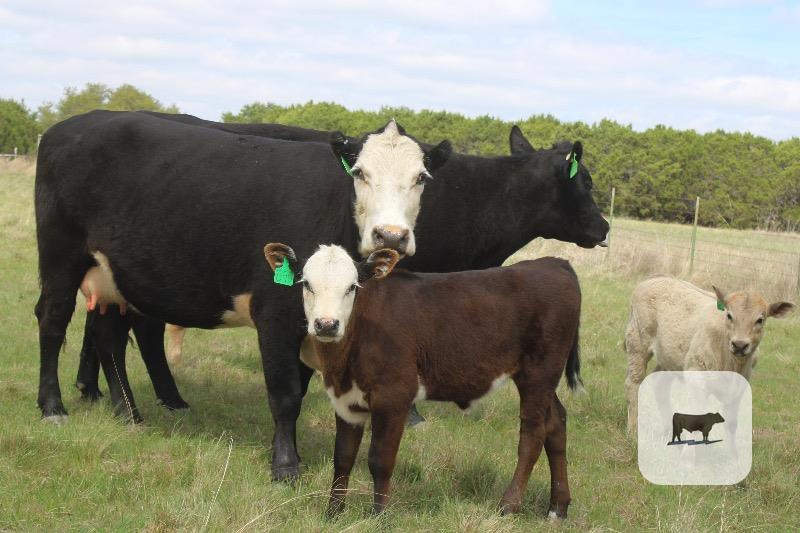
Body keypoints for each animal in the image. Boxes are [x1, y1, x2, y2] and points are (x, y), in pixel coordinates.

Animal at [34, 110, 451, 481]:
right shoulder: (276, 315)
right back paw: (53, 407)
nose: (391, 236)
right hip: (61, 259)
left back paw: (129, 413)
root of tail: (70, 125)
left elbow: (299, 390)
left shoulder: (312, 323)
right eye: (361, 173)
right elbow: (285, 395)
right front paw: (285, 466)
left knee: (109, 339)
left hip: (113, 278)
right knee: (53, 321)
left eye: (421, 177)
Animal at [264, 243, 582, 519]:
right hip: (538, 377)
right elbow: (342, 457)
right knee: (556, 423)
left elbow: (380, 460)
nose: (327, 324)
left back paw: (509, 505)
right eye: (306, 284)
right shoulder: (346, 400)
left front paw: (379, 516)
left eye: (352, 287)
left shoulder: (394, 397)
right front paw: (333, 514)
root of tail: (554, 263)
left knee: (533, 433)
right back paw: (558, 508)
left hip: (540, 372)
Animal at [624, 277, 794, 433]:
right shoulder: (696, 376)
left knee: (660, 384)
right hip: (637, 341)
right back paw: (632, 430)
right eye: (729, 315)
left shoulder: (739, 387)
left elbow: (731, 425)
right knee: (633, 383)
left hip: (669, 357)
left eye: (760, 320)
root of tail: (653, 279)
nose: (739, 345)